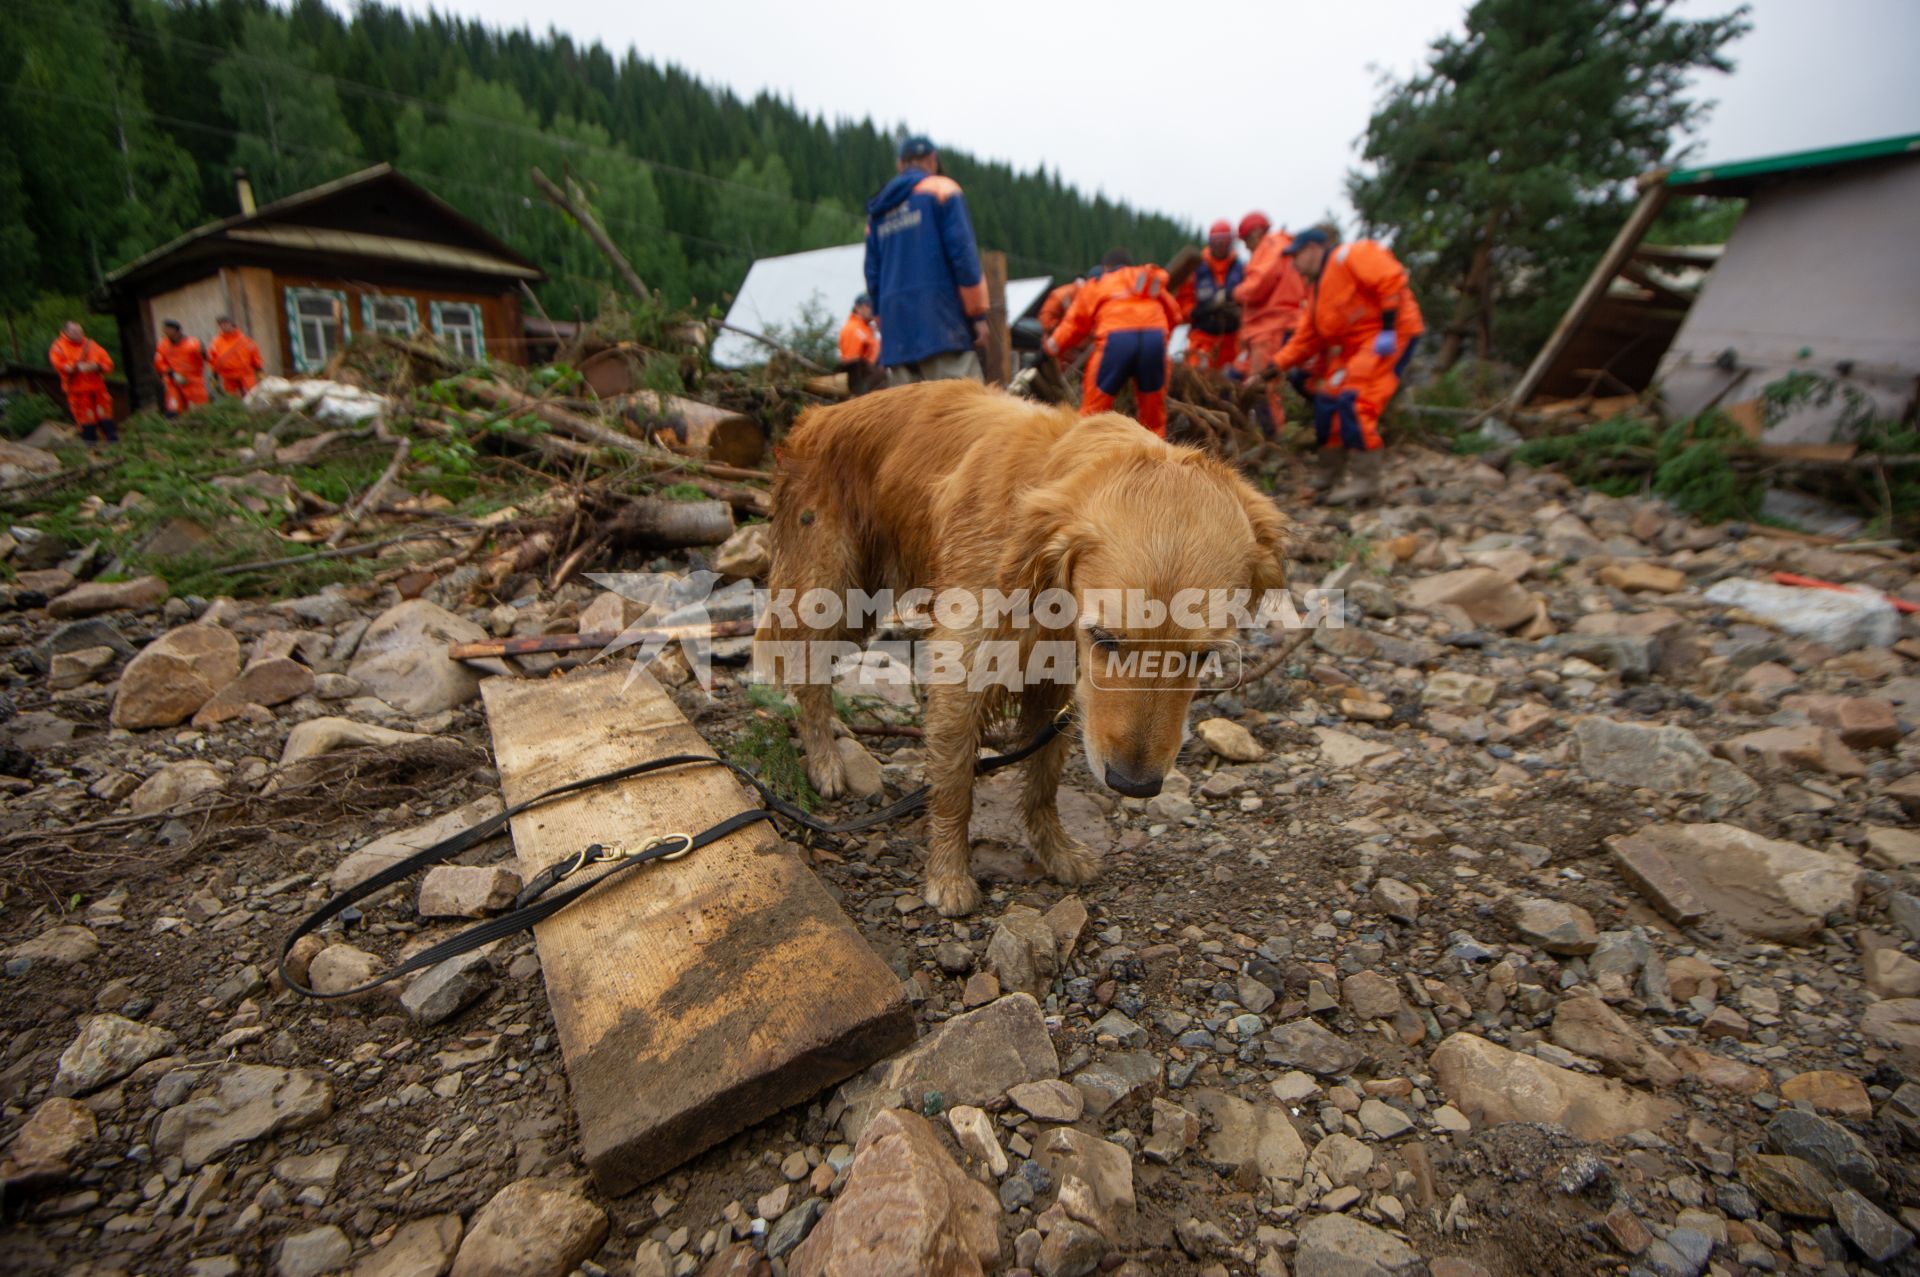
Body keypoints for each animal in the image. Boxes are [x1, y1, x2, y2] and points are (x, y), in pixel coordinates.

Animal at [756, 378, 1282, 917]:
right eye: (1105, 638)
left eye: (1203, 655)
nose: (1135, 786)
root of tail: (818, 416)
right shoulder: (962, 673)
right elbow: (954, 785)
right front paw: (949, 875)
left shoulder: (1058, 687)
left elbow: (1043, 781)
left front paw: (1054, 850)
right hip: (834, 592)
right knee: (806, 672)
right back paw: (825, 760)